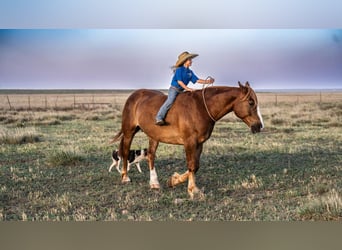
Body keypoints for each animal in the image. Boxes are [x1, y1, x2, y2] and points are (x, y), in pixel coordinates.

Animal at [111, 82, 264, 199]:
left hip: (153, 136)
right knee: (126, 152)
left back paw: (154, 183)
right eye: (251, 102)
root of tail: (135, 95)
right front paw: (192, 190)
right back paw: (125, 177)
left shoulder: (199, 143)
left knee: (151, 155)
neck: (201, 108)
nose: (259, 126)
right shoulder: (189, 142)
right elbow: (192, 165)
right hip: (129, 132)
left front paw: (174, 181)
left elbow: (196, 166)